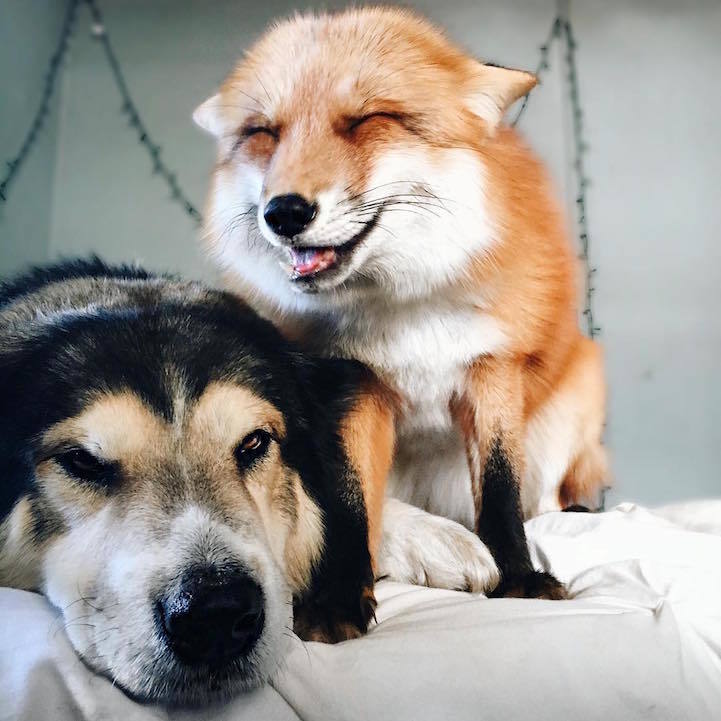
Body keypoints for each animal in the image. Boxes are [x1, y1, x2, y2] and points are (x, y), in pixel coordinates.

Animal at [193, 7, 608, 599]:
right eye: (263, 133)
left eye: (367, 121)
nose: (284, 213)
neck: (406, 312)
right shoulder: (353, 381)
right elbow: (349, 506)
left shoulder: (492, 367)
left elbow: (501, 490)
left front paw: (519, 576)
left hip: (577, 399)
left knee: (548, 502)